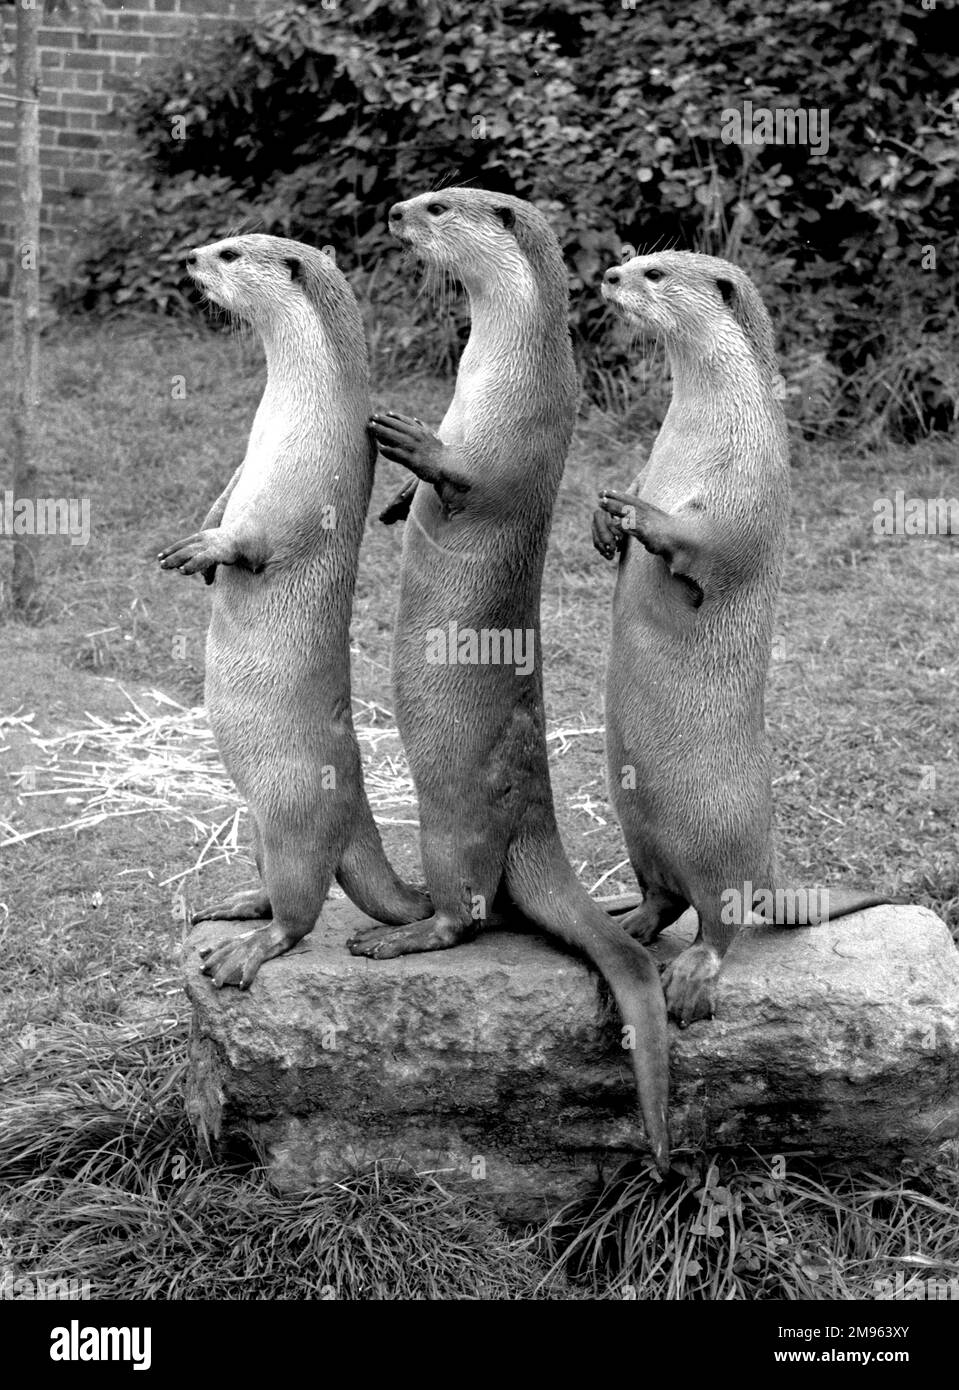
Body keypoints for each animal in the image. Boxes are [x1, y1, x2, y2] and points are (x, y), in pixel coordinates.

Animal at [157, 233, 430, 988]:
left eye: (227, 252)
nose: (188, 258)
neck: (294, 412)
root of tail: (355, 811)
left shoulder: (309, 482)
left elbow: (254, 537)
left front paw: (207, 549)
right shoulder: (245, 458)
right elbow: (223, 498)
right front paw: (200, 536)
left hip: (292, 821)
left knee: (300, 912)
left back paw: (243, 951)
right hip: (255, 822)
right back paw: (234, 904)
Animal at [347, 188, 670, 1172]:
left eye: (439, 204)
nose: (394, 208)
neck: (500, 374)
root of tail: (535, 815)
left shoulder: (523, 440)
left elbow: (469, 478)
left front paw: (409, 439)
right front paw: (391, 502)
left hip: (452, 823)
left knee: (473, 912)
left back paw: (398, 937)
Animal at [595, 250, 889, 1026]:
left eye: (655, 272)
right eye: (634, 259)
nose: (609, 275)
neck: (705, 435)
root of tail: (769, 868)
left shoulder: (752, 488)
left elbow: (714, 544)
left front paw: (645, 518)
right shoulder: (653, 457)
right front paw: (605, 518)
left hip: (718, 836)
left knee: (721, 919)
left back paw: (692, 978)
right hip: (637, 824)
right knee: (664, 898)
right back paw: (627, 922)